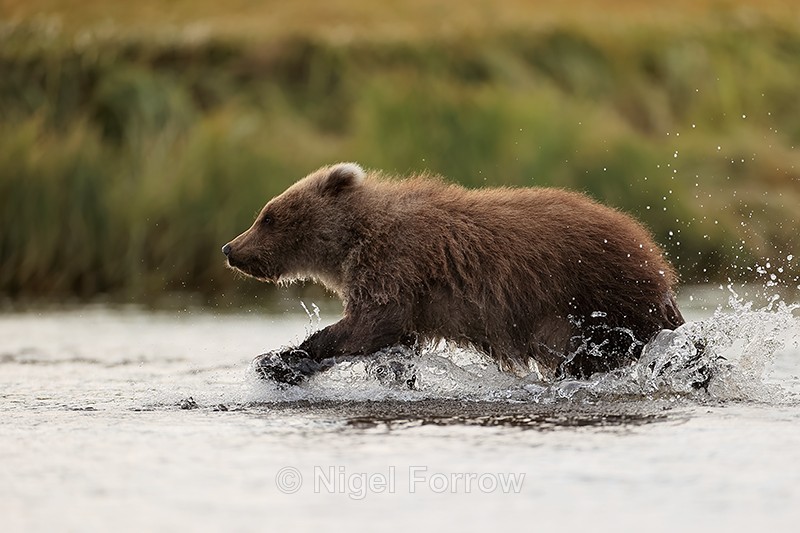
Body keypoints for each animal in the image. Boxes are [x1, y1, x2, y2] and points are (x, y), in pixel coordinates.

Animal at [222, 162, 685, 382]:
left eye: (268, 216)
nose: (230, 249)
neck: (355, 239)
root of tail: (655, 255)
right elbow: (391, 342)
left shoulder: (395, 266)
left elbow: (367, 326)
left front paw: (279, 361)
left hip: (593, 296)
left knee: (598, 349)